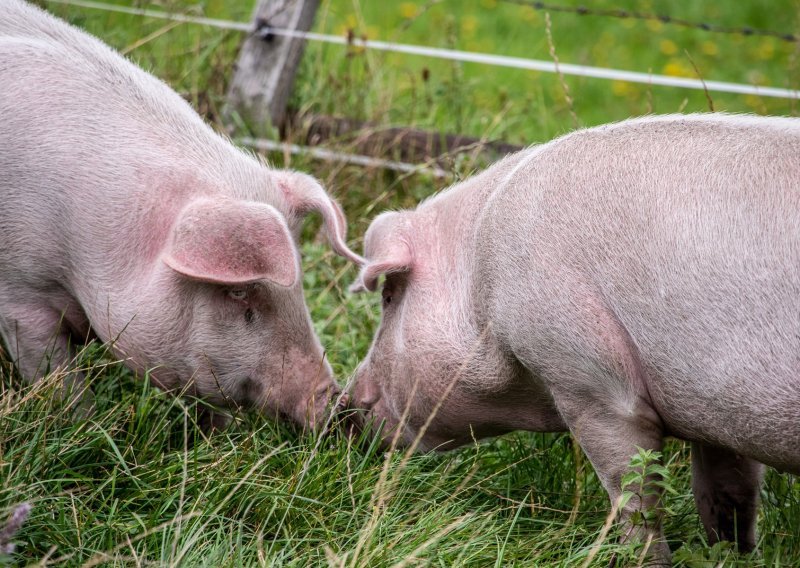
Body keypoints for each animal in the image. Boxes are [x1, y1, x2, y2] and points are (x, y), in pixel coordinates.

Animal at [0, 0, 362, 428]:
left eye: (301, 288)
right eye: (238, 292)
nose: (333, 402)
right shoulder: (20, 294)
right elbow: (56, 376)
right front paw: (83, 423)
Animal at [354, 115, 800, 564]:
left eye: (389, 298)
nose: (345, 406)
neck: (481, 277)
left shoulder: (587, 381)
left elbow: (633, 494)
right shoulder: (718, 414)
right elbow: (728, 495)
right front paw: (733, 555)